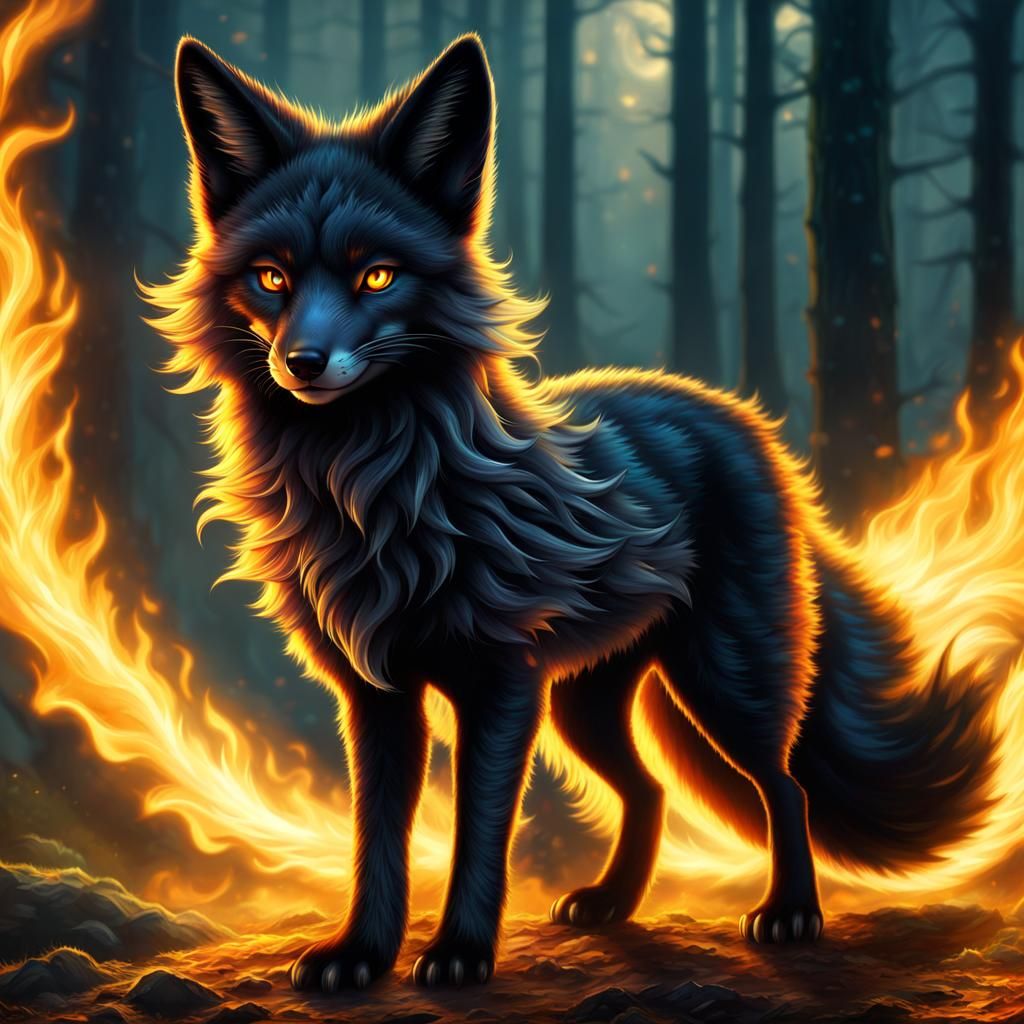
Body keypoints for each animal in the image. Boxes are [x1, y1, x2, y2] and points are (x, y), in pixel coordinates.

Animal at [143, 34, 1002, 992]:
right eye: (272, 278)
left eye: (377, 276)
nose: (304, 361)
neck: (370, 493)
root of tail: (743, 420)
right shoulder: (378, 694)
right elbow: (379, 837)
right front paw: (360, 955)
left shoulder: (499, 685)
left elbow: (480, 831)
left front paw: (459, 954)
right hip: (585, 706)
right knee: (651, 787)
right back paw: (613, 905)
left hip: (722, 683)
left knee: (785, 785)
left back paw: (791, 914)